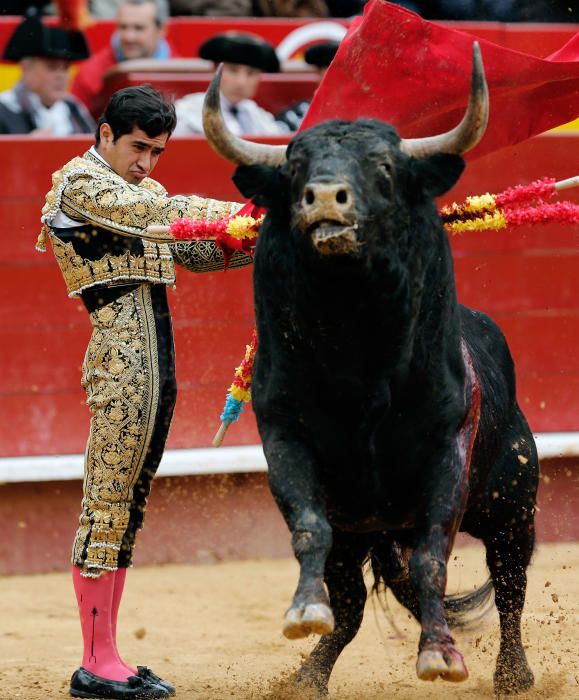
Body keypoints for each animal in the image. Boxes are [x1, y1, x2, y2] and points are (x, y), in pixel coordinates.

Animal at [203, 43, 540, 696]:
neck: (356, 355)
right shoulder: (287, 441)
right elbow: (310, 529)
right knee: (352, 605)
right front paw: (303, 611)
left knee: (511, 587)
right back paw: (307, 675)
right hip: (366, 530)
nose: (325, 198)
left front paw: (440, 654)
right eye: (294, 169)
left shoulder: (447, 455)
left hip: (514, 504)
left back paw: (513, 673)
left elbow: (433, 557)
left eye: (383, 167)